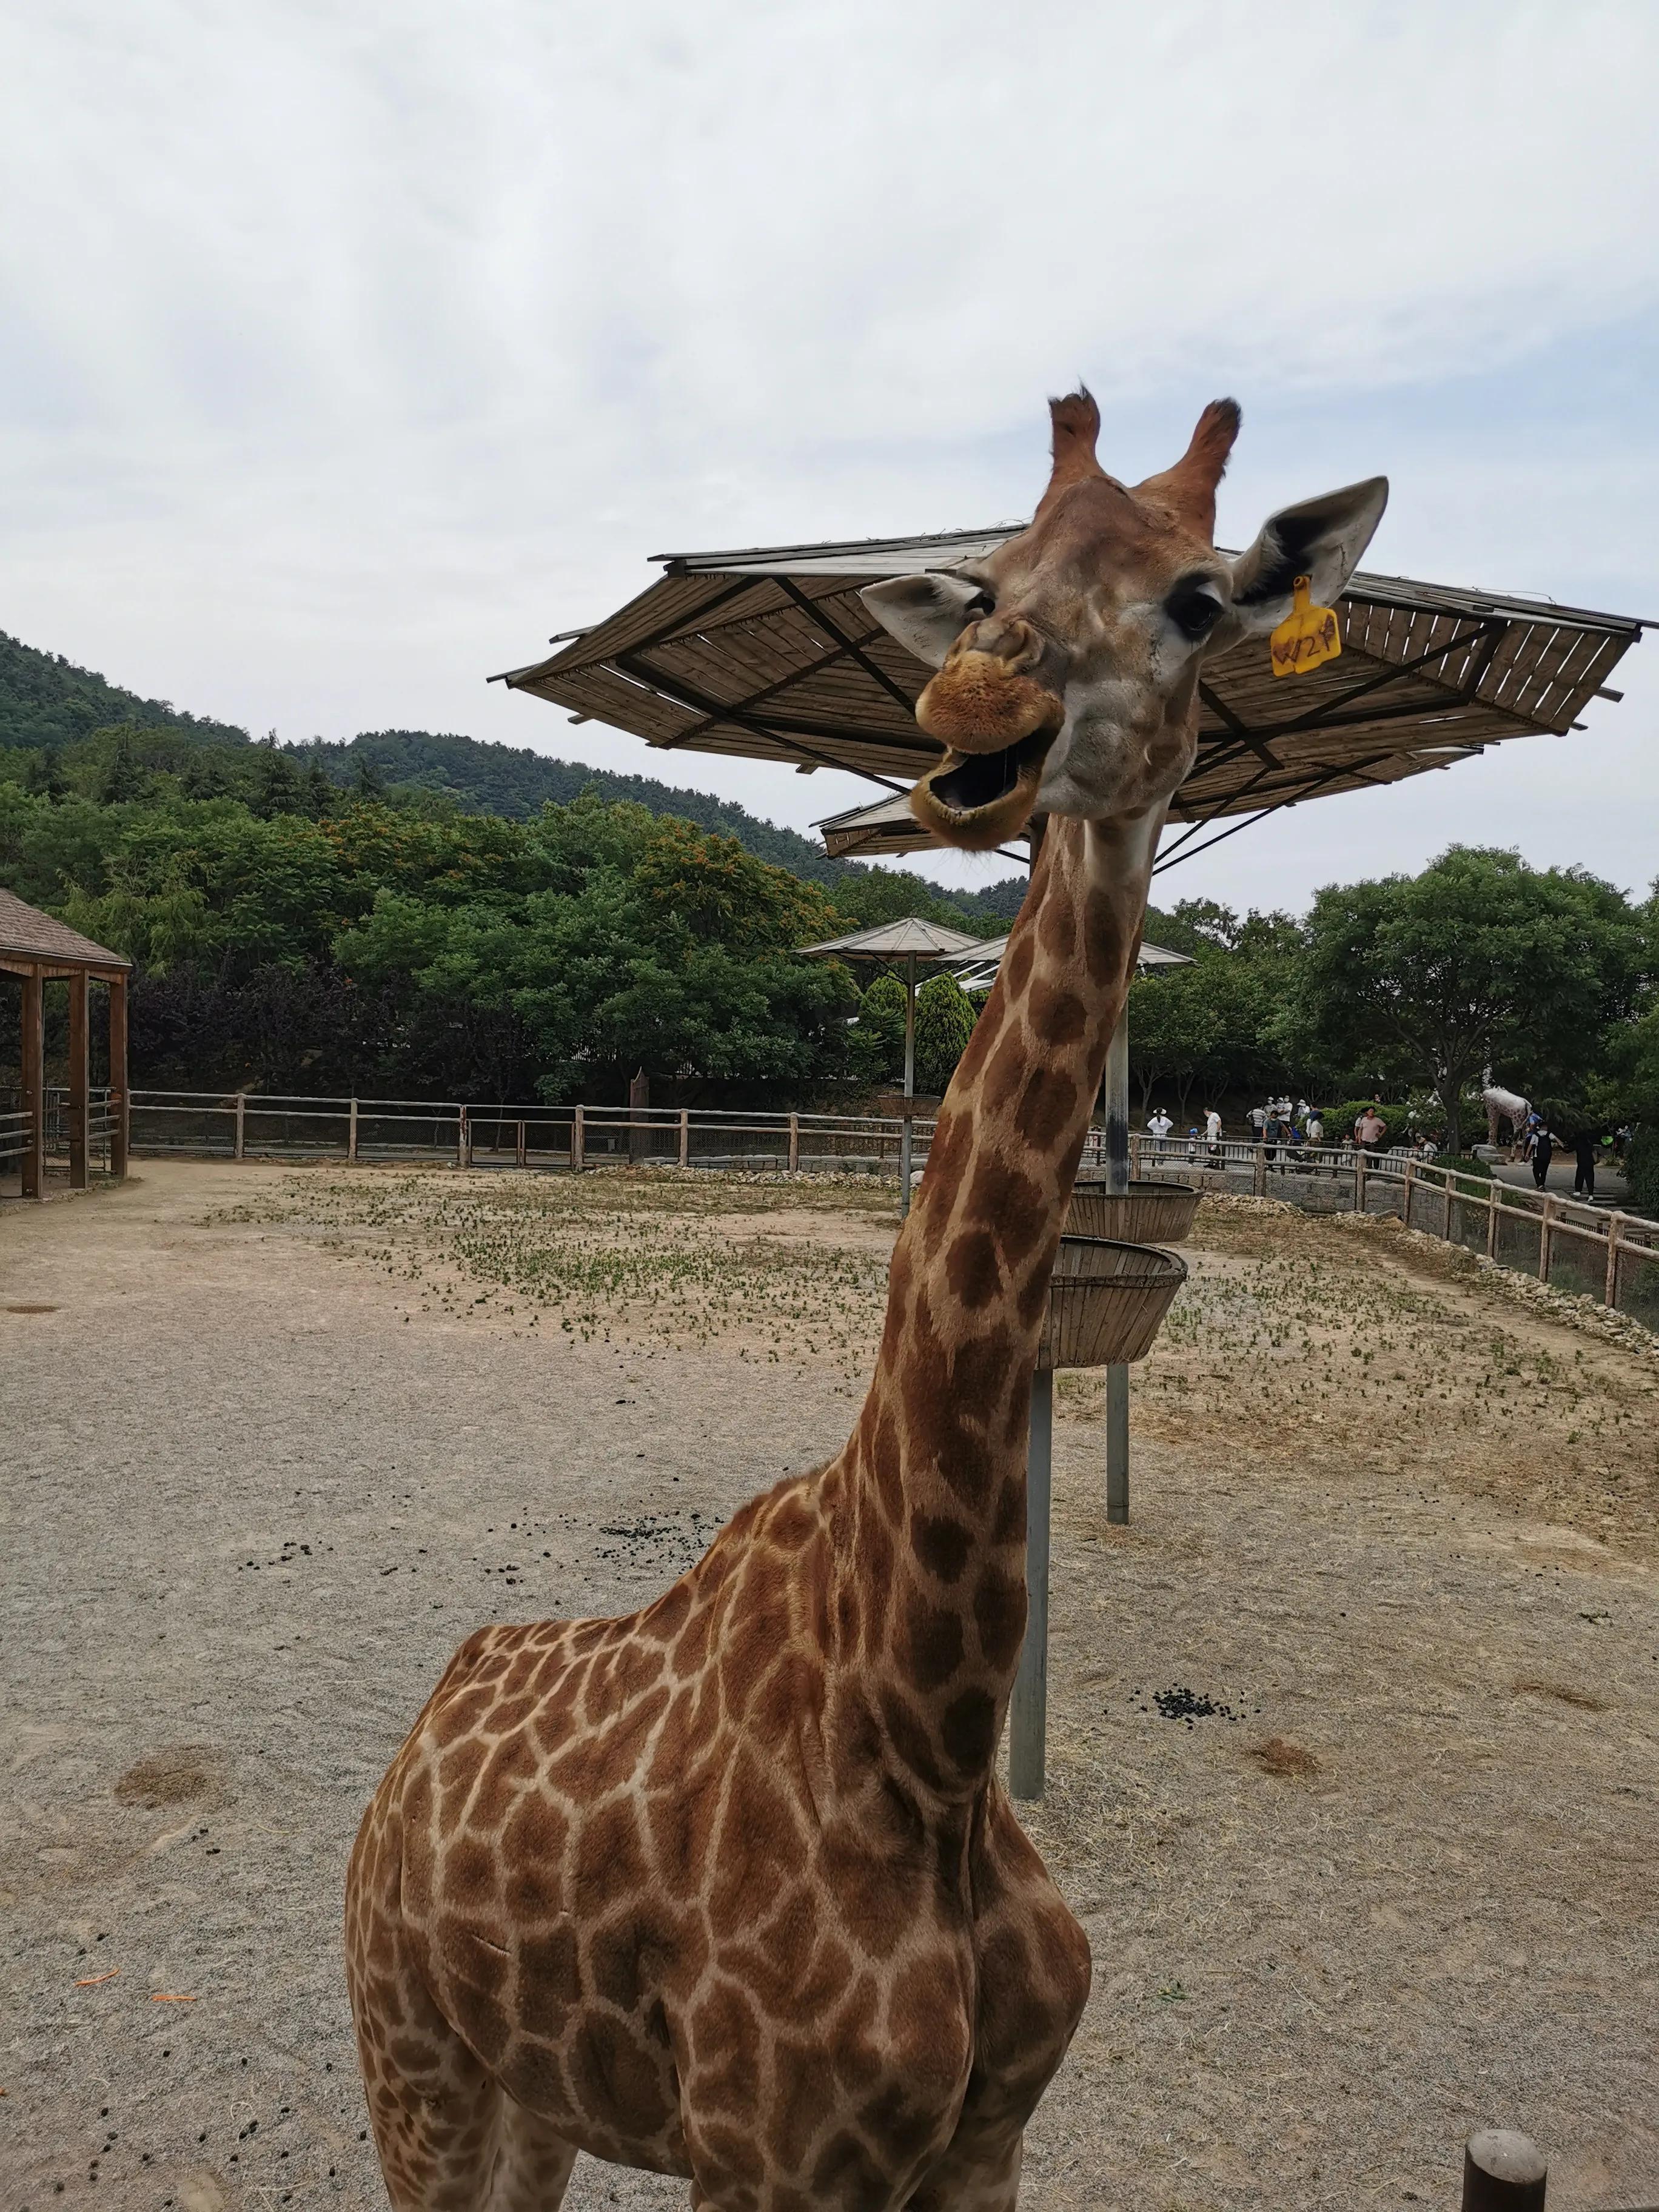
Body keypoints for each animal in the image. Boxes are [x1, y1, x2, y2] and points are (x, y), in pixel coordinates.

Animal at [347, 389, 1389, 2203]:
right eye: (985, 581)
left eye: (1200, 598)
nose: (976, 709)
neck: (924, 1727)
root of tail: (411, 1746)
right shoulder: (767, 2156)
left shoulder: (982, 2147)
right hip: (410, 2062)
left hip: (531, 2099)